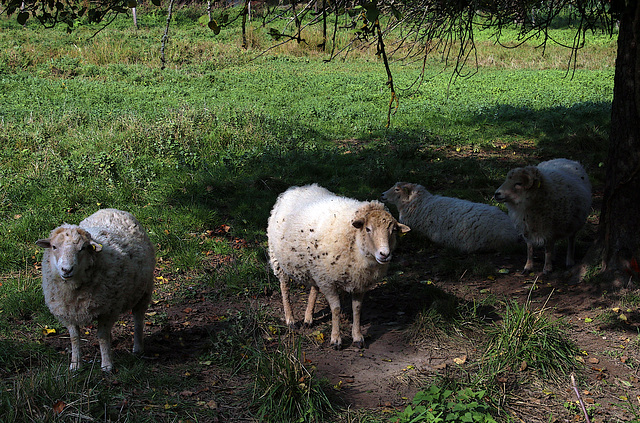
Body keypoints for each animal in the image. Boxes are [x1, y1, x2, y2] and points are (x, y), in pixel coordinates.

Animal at [37, 209, 156, 372]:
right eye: (54, 247)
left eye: (82, 248)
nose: (66, 270)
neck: (74, 290)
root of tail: (112, 209)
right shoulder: (67, 312)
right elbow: (74, 338)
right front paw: (75, 364)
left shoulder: (108, 310)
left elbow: (102, 336)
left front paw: (106, 365)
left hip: (144, 290)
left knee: (138, 318)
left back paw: (138, 348)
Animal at [266, 184, 410, 350]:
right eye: (368, 229)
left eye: (393, 231)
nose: (384, 254)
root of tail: (296, 189)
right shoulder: (328, 282)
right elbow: (335, 309)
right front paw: (336, 339)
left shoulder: (360, 282)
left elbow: (357, 309)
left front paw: (358, 337)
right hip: (278, 260)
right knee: (285, 288)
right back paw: (291, 320)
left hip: (316, 268)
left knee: (314, 288)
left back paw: (308, 318)